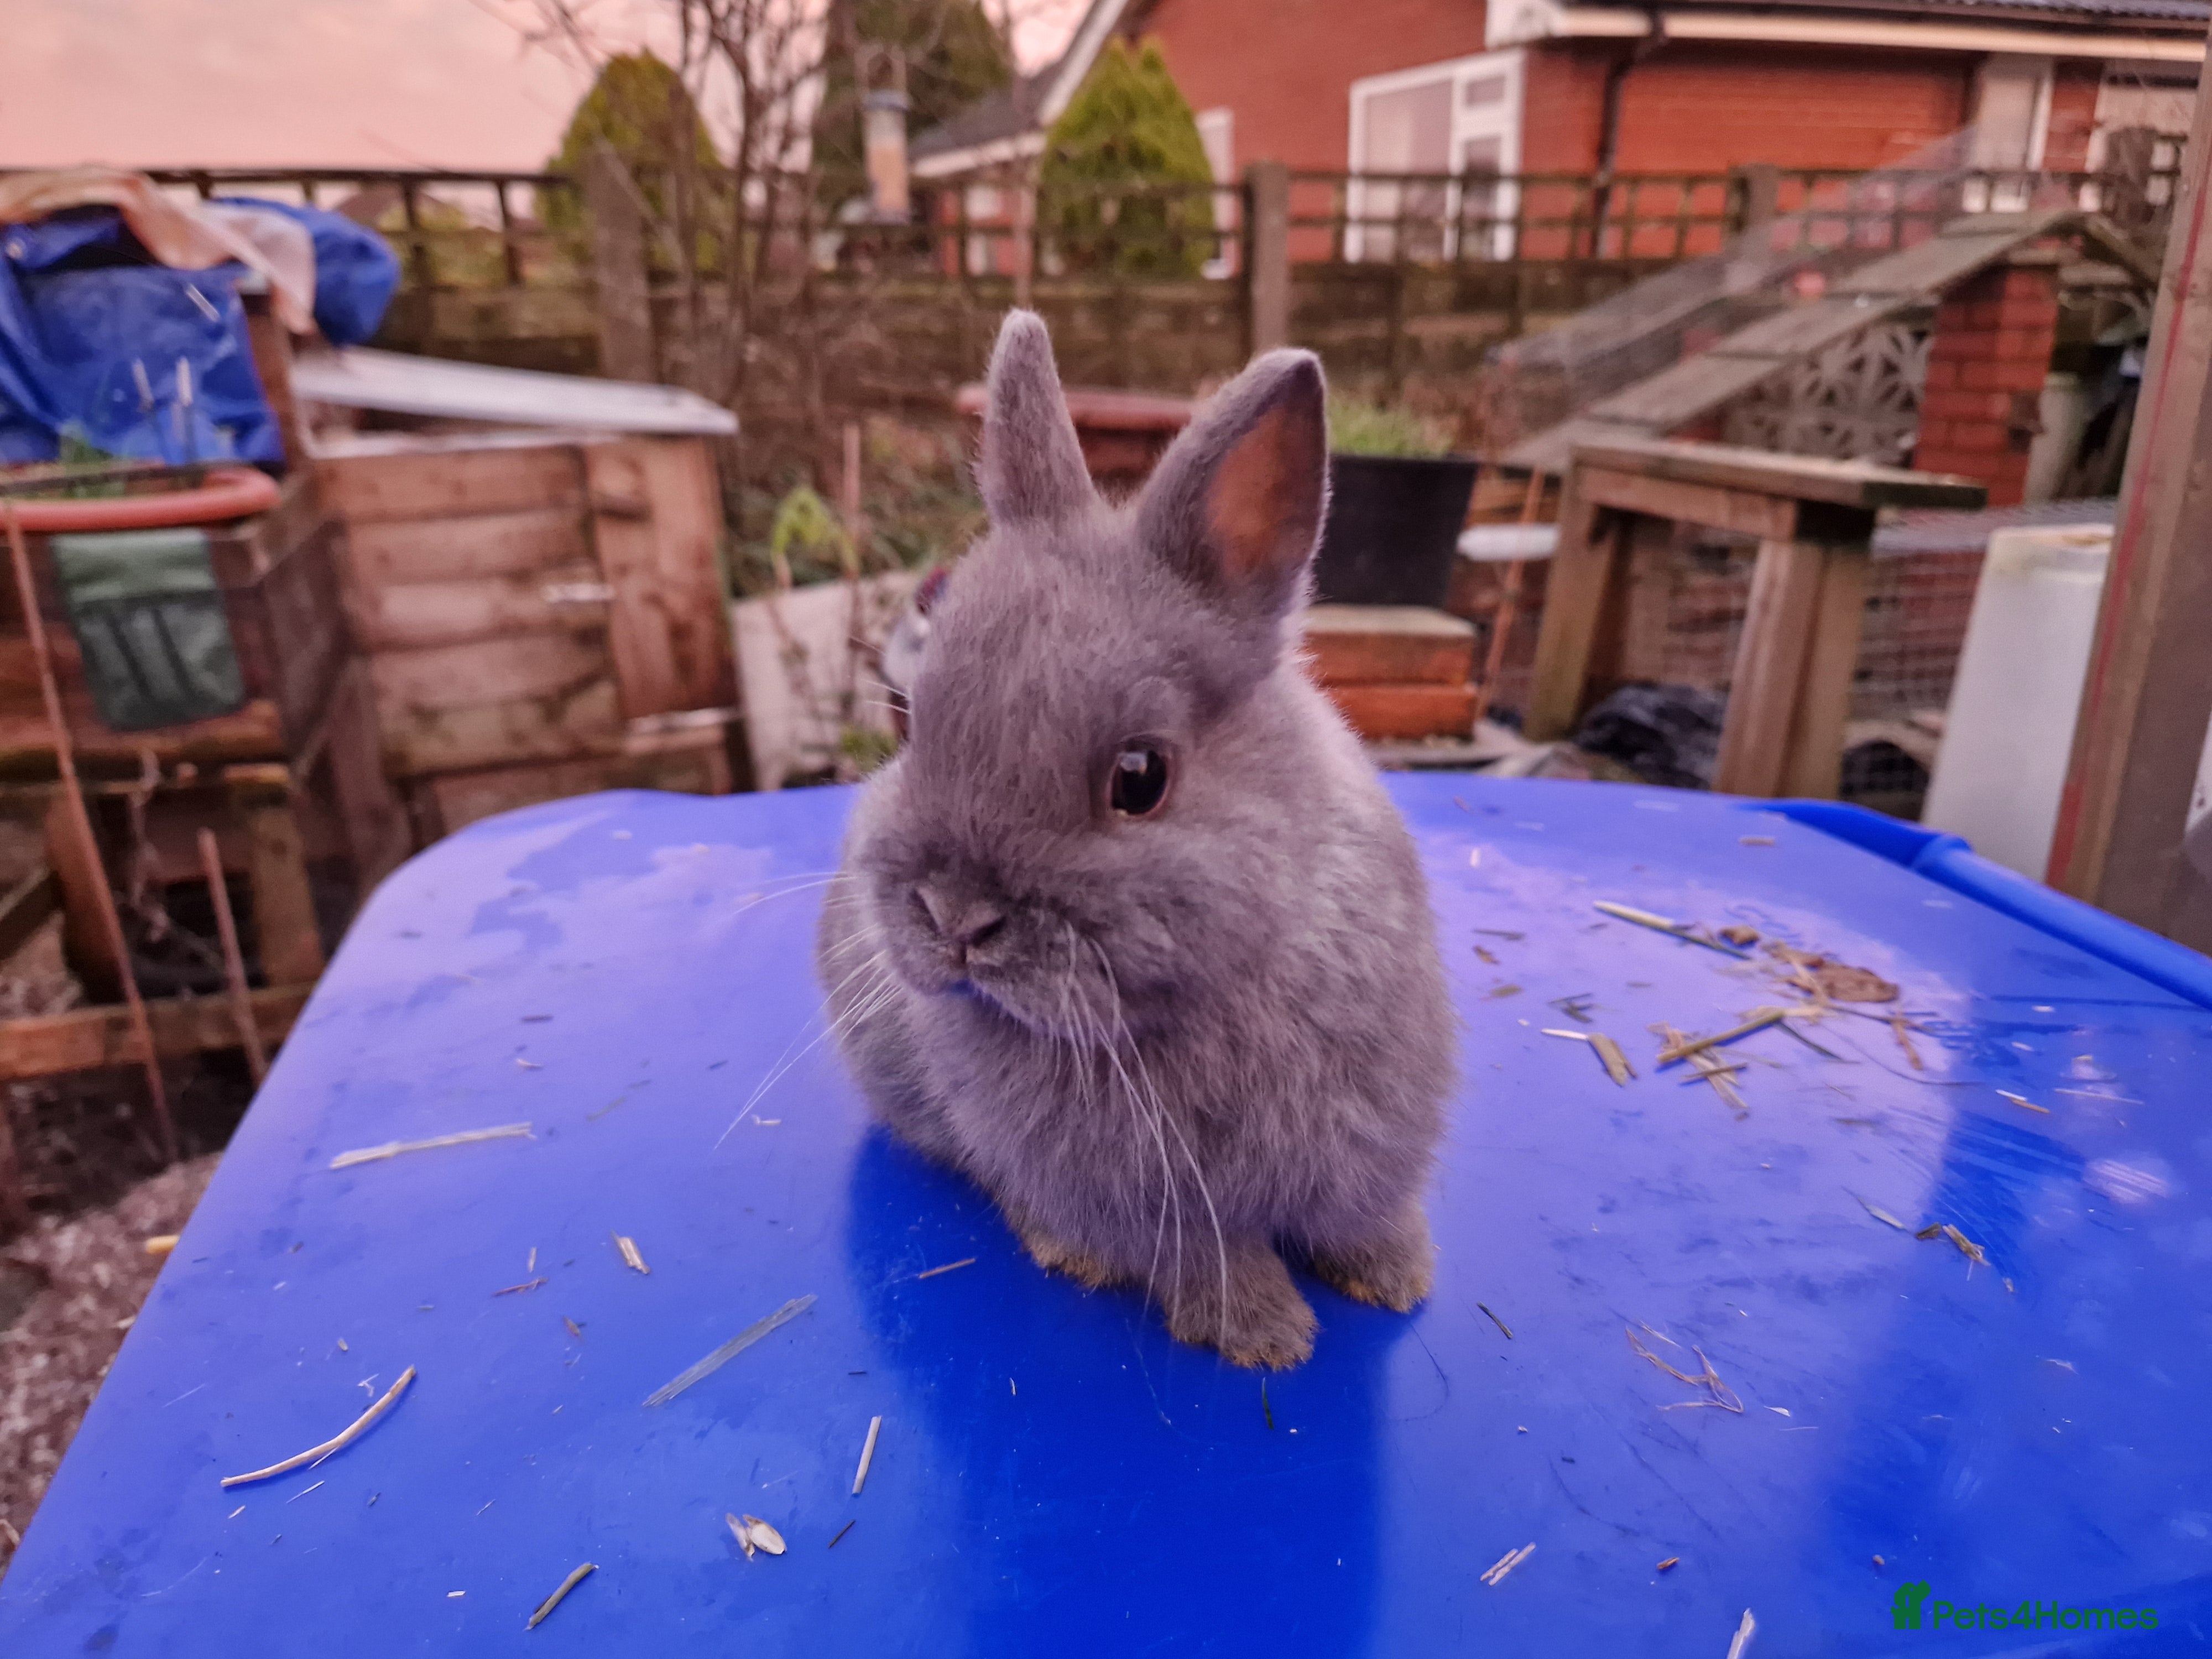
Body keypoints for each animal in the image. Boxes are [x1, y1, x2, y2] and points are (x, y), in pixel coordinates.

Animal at [815, 311, 1455, 1369]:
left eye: (1141, 777)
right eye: (916, 729)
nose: (953, 919)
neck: (1225, 982)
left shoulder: (1367, 1144)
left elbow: (1363, 1216)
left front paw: (1398, 1280)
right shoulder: (1153, 1207)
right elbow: (1207, 1262)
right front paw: (1271, 1340)